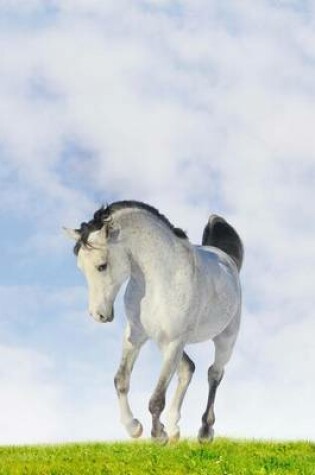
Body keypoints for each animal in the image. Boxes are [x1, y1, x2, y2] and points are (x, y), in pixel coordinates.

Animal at [65, 200, 244, 442]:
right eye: (80, 268)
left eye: (102, 266)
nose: (98, 315)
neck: (159, 278)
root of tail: (227, 258)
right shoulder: (136, 336)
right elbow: (121, 380)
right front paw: (134, 427)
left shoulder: (174, 342)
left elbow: (156, 398)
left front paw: (158, 435)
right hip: (162, 343)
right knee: (188, 369)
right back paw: (175, 428)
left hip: (225, 340)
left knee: (214, 374)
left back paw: (205, 431)